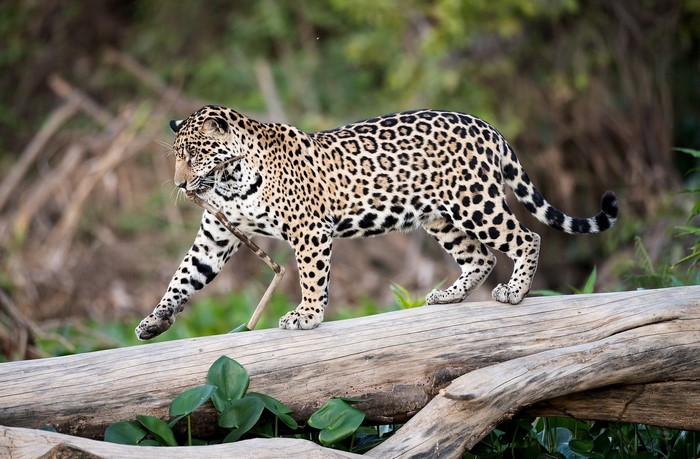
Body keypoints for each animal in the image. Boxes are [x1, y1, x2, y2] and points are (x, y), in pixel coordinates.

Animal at [135, 105, 618, 340]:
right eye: (176, 155)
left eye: (193, 153)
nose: (179, 184)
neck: (232, 179)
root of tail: (485, 125)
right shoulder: (216, 236)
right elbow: (183, 278)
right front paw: (154, 322)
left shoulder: (310, 230)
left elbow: (312, 277)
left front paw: (307, 316)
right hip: (438, 215)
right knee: (479, 256)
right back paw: (449, 296)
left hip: (474, 202)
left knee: (526, 237)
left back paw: (515, 292)